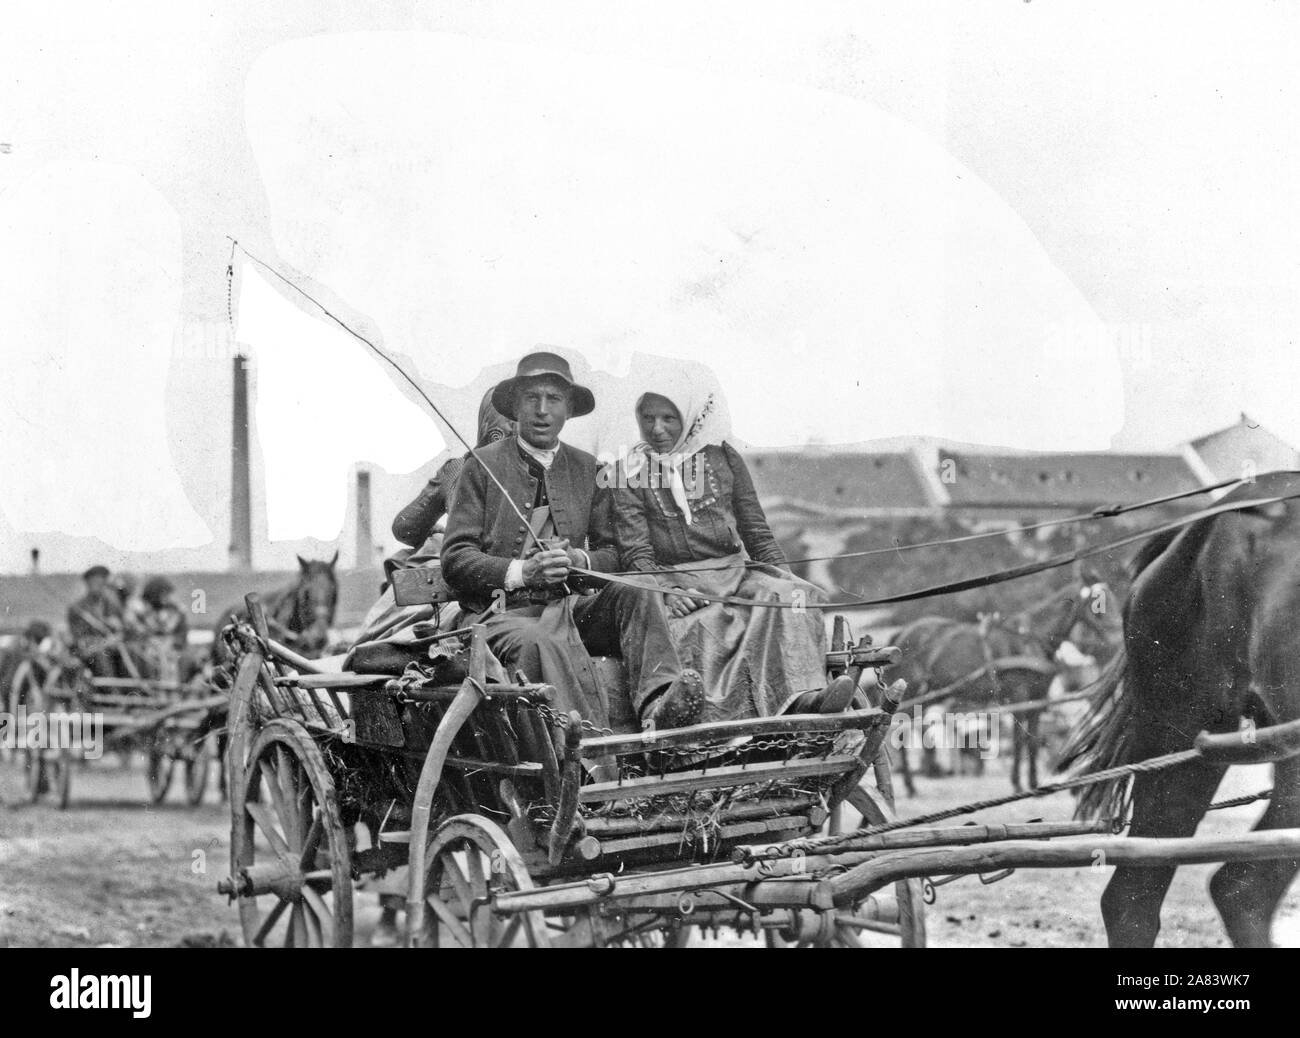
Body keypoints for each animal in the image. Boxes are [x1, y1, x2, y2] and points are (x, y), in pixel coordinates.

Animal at [894, 577, 1118, 796]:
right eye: (1098, 604)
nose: (1118, 637)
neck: (1029, 641)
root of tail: (902, 633)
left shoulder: (1039, 697)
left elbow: (1033, 740)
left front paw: (1033, 783)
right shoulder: (1019, 695)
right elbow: (1019, 740)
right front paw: (1017, 783)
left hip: (932, 693)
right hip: (911, 692)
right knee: (901, 727)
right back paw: (909, 785)